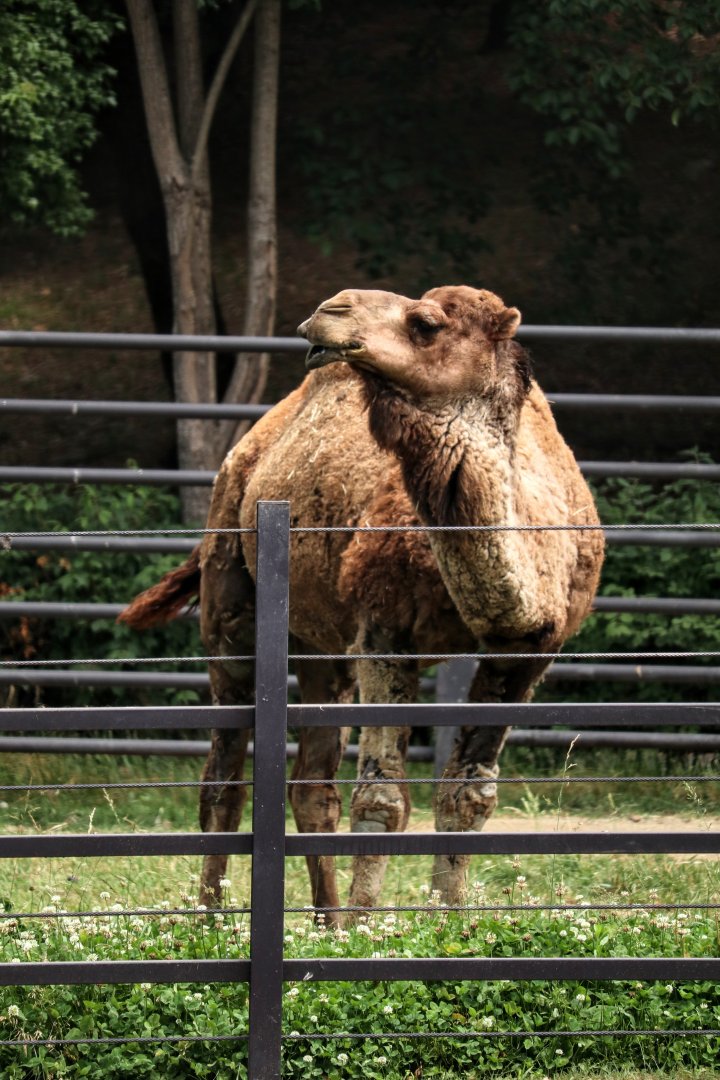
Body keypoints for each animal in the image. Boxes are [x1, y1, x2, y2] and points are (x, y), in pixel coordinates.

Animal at [119, 285, 604, 921]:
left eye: (426, 323)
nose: (331, 310)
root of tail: (246, 449)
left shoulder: (527, 649)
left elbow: (468, 793)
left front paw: (446, 922)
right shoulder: (386, 630)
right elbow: (382, 798)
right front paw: (365, 929)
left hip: (324, 648)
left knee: (312, 784)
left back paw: (323, 921)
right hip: (228, 589)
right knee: (223, 776)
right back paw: (213, 921)